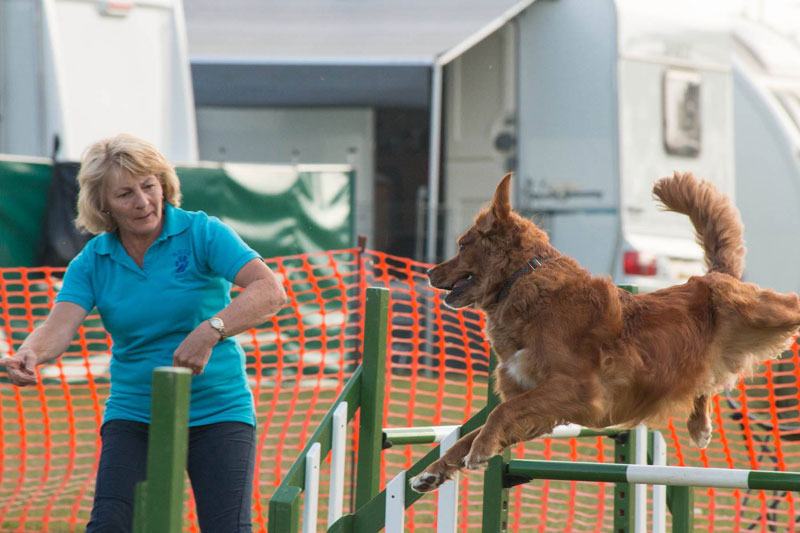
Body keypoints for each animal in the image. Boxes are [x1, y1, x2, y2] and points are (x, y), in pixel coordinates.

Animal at [410, 172, 800, 492]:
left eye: (463, 245)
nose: (428, 272)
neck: (523, 282)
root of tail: (714, 276)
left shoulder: (577, 390)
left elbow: (499, 413)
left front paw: (479, 451)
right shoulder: (540, 407)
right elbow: (468, 435)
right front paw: (433, 472)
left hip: (759, 314)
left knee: (790, 306)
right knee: (708, 383)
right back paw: (699, 426)